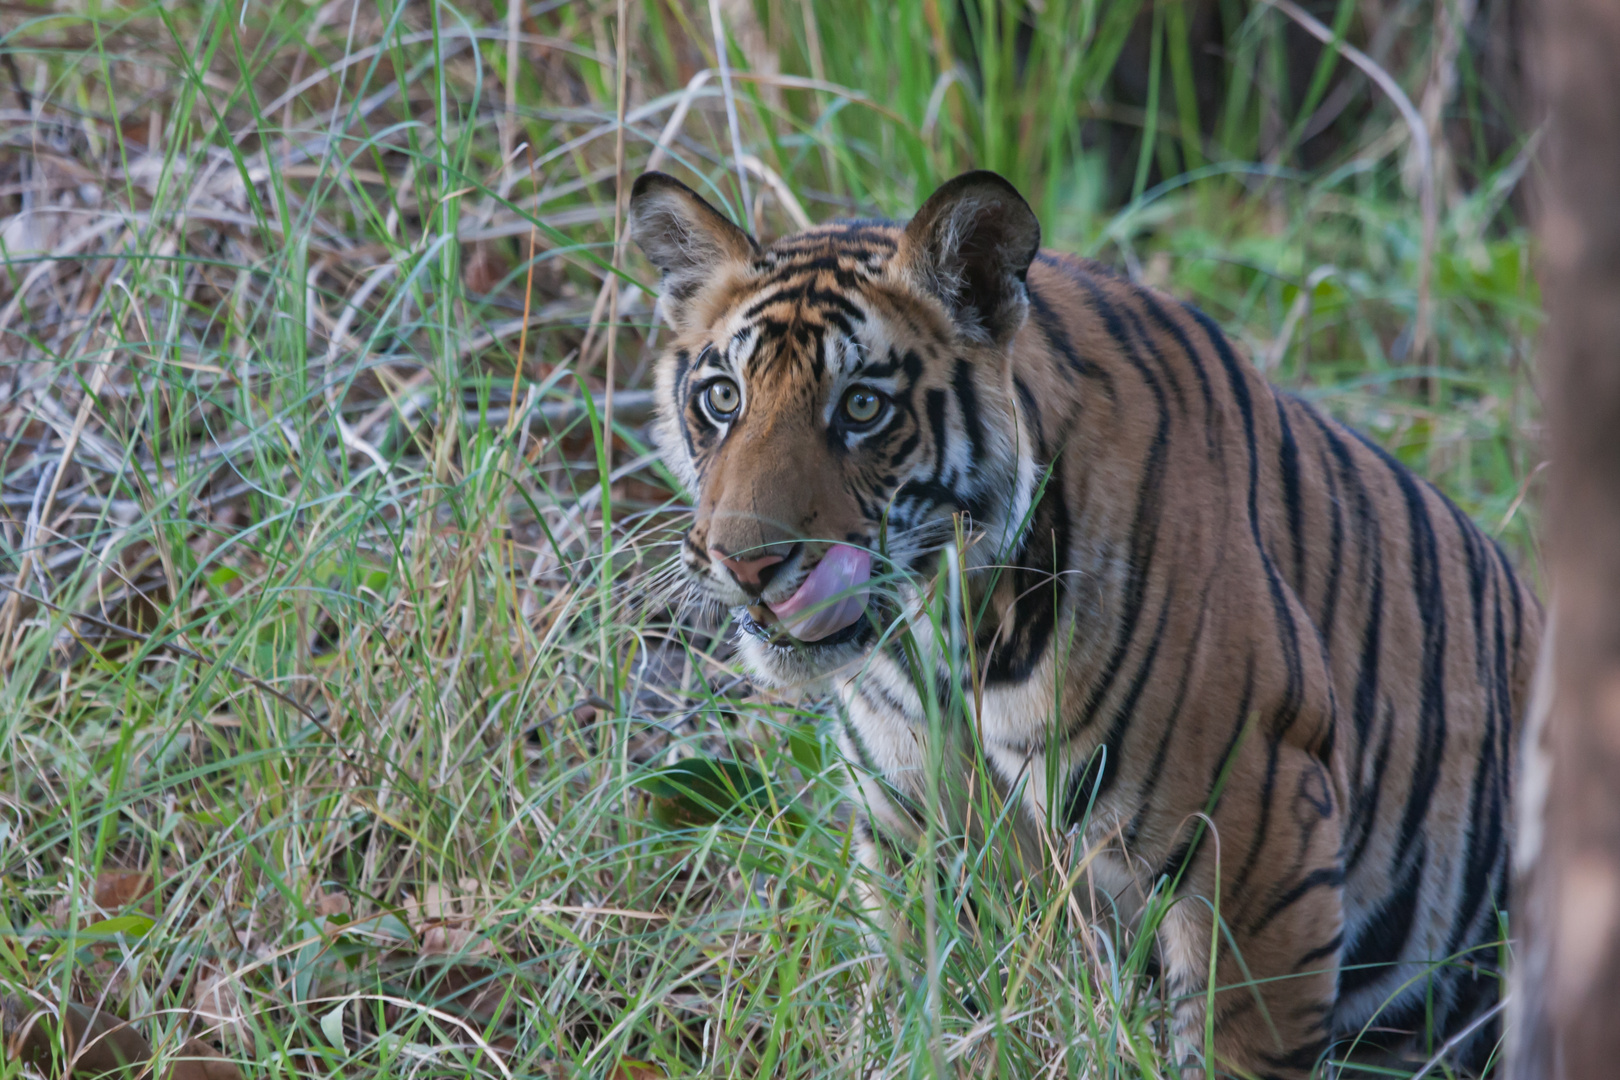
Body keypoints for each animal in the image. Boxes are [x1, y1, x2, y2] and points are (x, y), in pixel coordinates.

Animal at [625, 170, 1535, 1080]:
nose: (745, 564)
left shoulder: (1255, 831)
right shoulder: (913, 835)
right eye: (722, 398)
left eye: (861, 406)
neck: (942, 639)